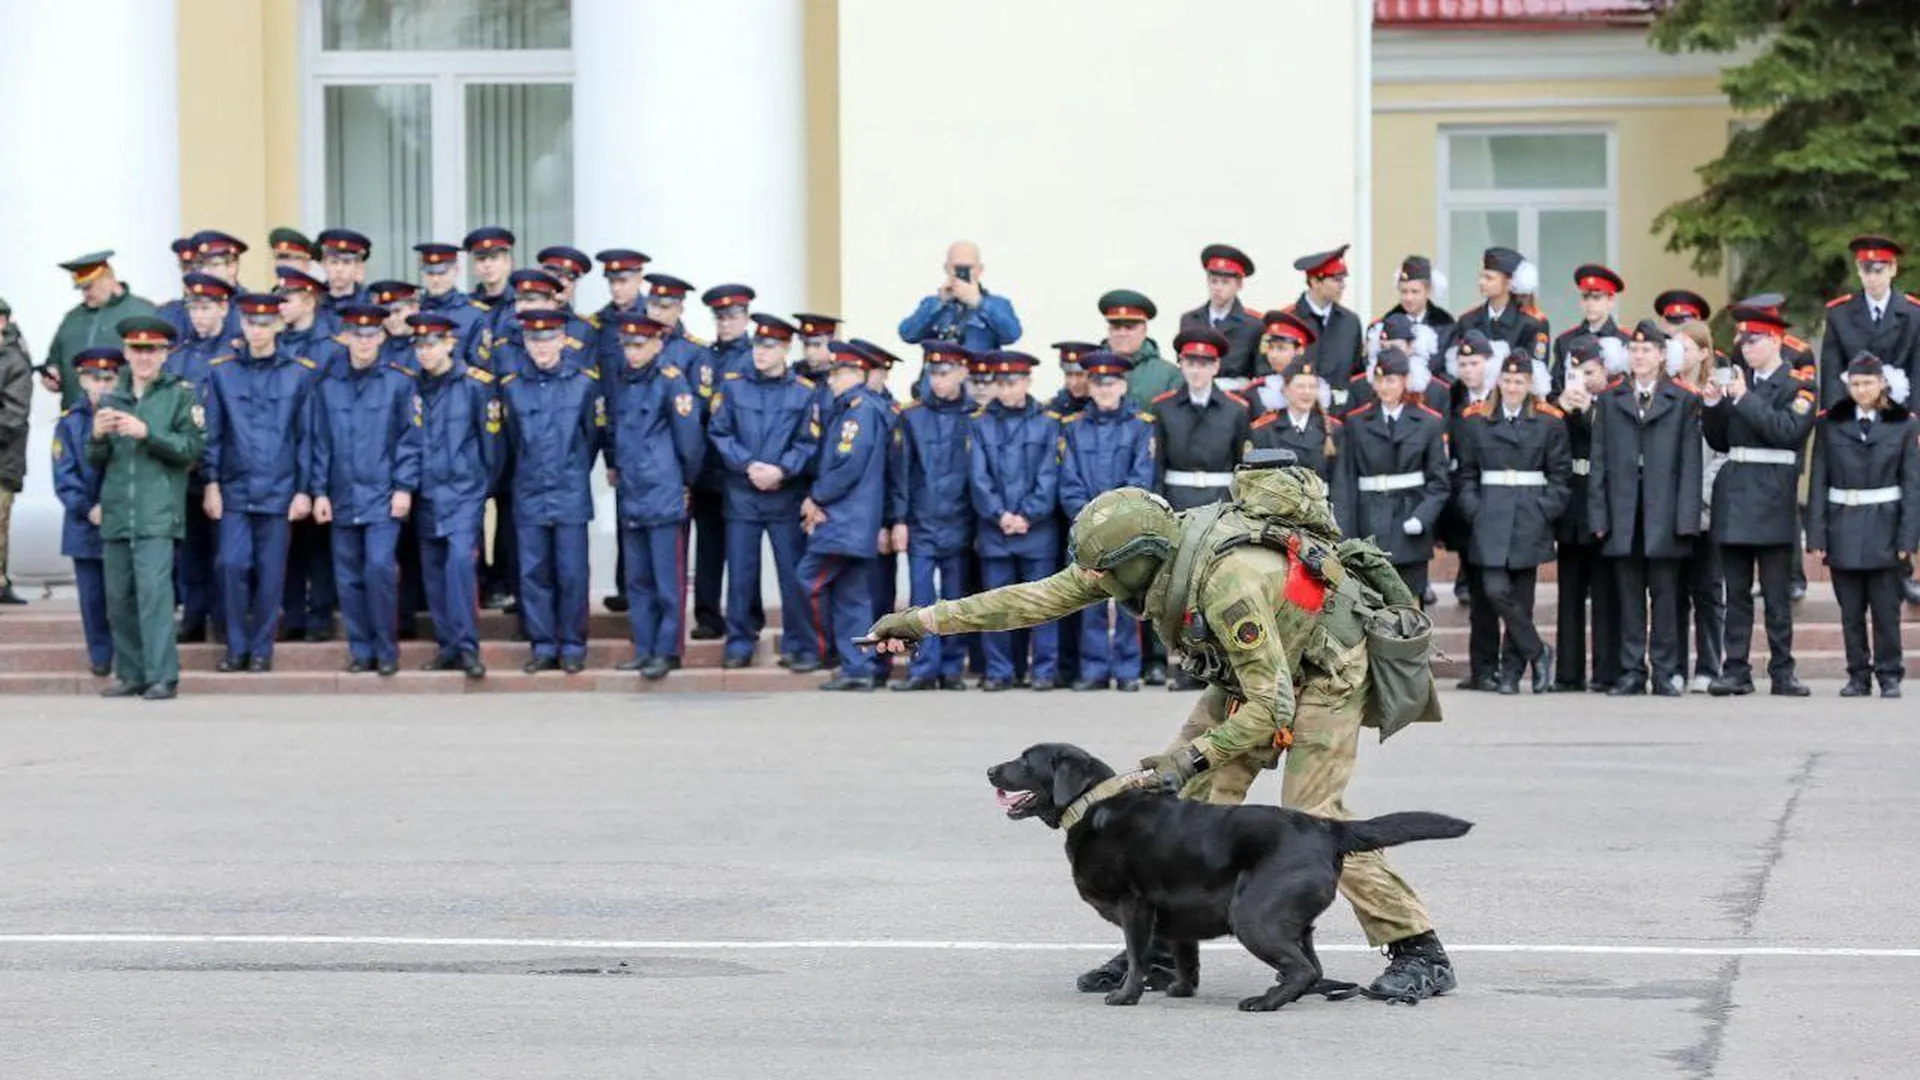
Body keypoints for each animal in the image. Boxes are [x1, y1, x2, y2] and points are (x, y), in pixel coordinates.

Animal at [990, 734, 1466, 1006]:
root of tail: (1326, 827)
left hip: (1254, 916)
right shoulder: (1175, 913)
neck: (1093, 805)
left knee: (1304, 968)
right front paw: (1181, 990)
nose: (991, 768)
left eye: (1026, 760)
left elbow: (1138, 956)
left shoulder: (1135, 905)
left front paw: (1125, 995)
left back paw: (1264, 1001)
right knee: (1310, 967)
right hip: (1289, 921)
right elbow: (1186, 957)